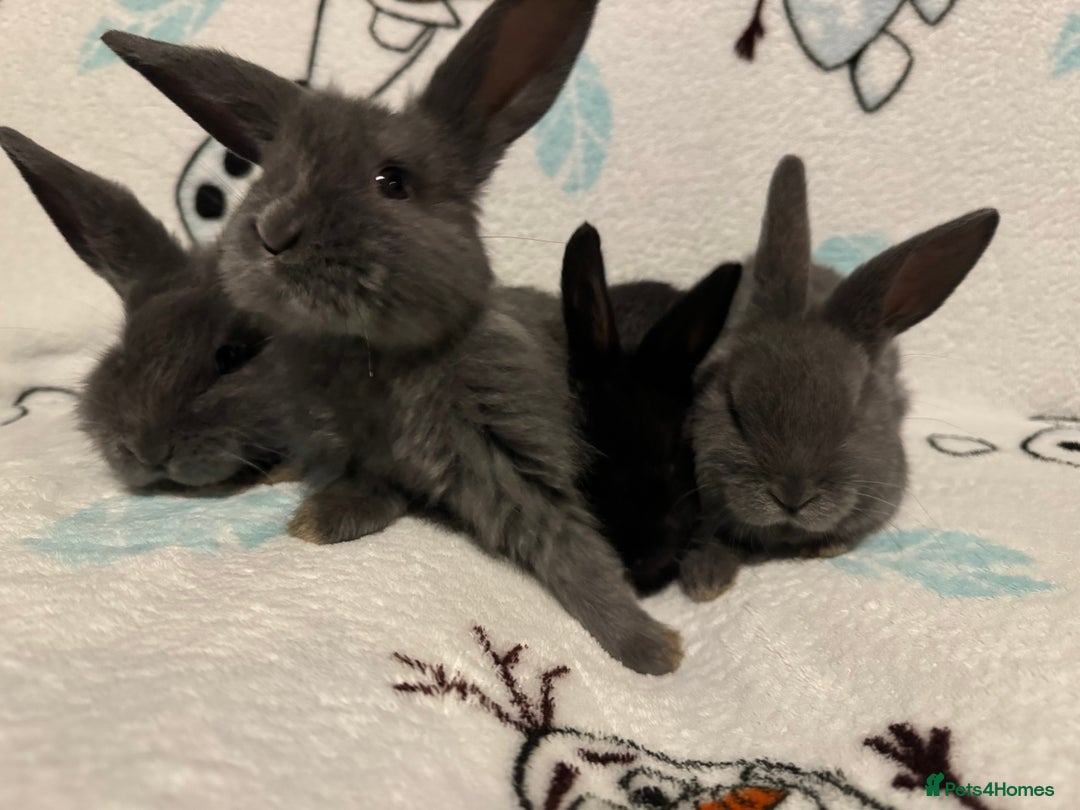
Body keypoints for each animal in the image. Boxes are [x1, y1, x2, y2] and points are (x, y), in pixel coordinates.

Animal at [101, 0, 685, 675]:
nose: (272, 231)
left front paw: (649, 648)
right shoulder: (346, 445)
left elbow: (565, 544)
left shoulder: (511, 455)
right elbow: (365, 480)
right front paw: (317, 513)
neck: (374, 355)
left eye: (393, 182)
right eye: (270, 175)